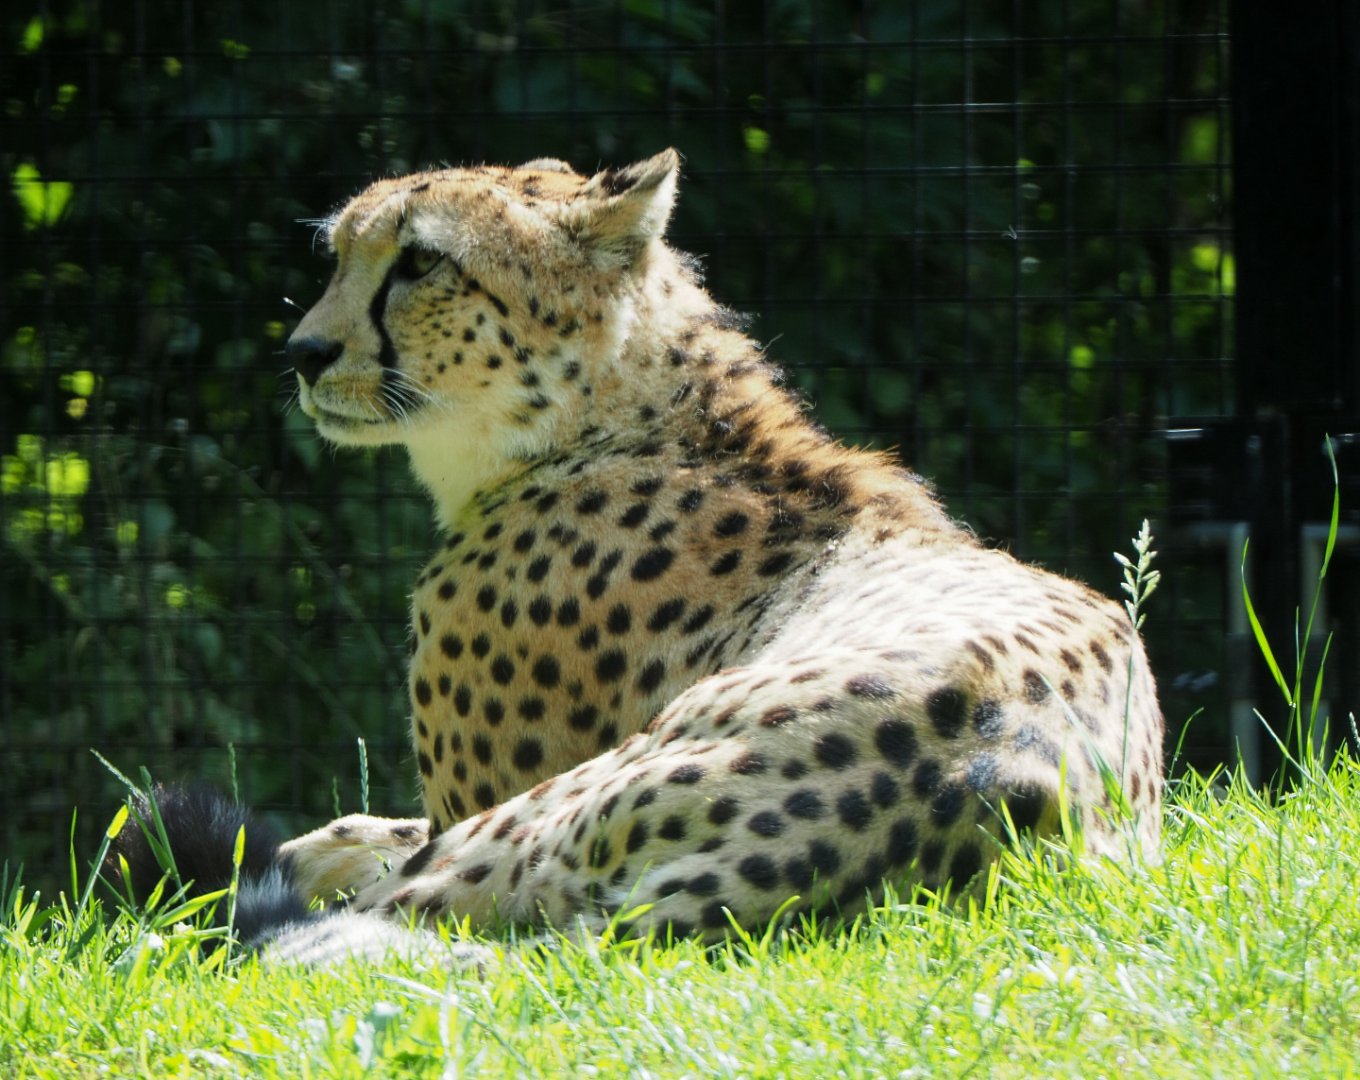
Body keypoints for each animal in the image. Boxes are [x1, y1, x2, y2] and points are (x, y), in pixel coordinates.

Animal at [116, 149, 1164, 963]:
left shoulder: (464, 811)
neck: (620, 420)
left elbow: (355, 848)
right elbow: (346, 831)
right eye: (338, 254)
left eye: (419, 262)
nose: (305, 352)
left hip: (529, 830)